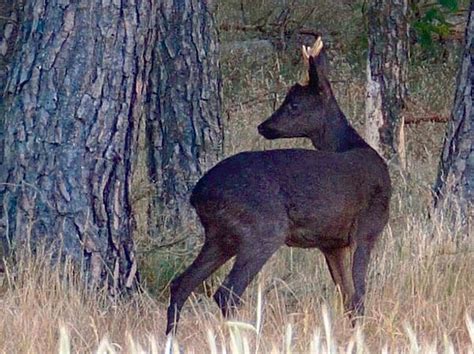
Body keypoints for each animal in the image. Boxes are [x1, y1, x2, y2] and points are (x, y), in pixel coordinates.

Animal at [166, 38, 388, 334]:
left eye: (293, 104)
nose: (264, 126)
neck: (352, 144)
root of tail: (197, 195)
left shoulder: (332, 243)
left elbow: (348, 296)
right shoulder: (367, 228)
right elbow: (360, 293)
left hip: (220, 236)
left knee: (181, 283)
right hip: (263, 228)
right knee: (227, 292)